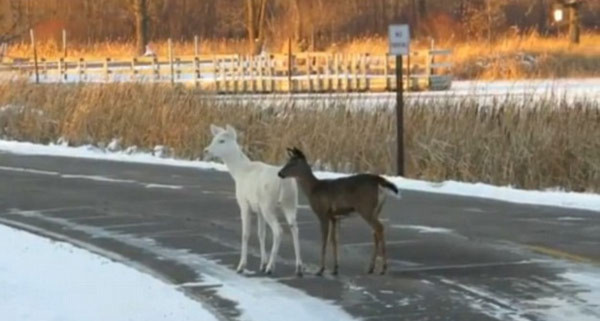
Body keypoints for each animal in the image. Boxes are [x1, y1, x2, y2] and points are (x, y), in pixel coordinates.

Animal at [203, 124, 304, 276]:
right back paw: (298, 267)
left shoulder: (244, 203)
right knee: (295, 228)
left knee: (278, 231)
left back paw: (271, 267)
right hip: (290, 202)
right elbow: (261, 234)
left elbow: (246, 234)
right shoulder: (259, 209)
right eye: (213, 138)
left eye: (222, 141)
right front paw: (262, 263)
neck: (239, 172)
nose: (206, 150)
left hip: (268, 204)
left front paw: (242, 266)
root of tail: (284, 182)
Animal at [278, 146, 400, 274]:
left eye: (293, 163)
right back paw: (371, 268)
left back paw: (383, 268)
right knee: (375, 232)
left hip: (366, 208)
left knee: (379, 228)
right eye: (287, 161)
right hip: (376, 209)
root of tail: (379, 181)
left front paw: (321, 269)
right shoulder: (334, 217)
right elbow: (334, 240)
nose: (280, 173)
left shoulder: (323, 213)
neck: (314, 189)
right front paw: (335, 268)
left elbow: (324, 240)